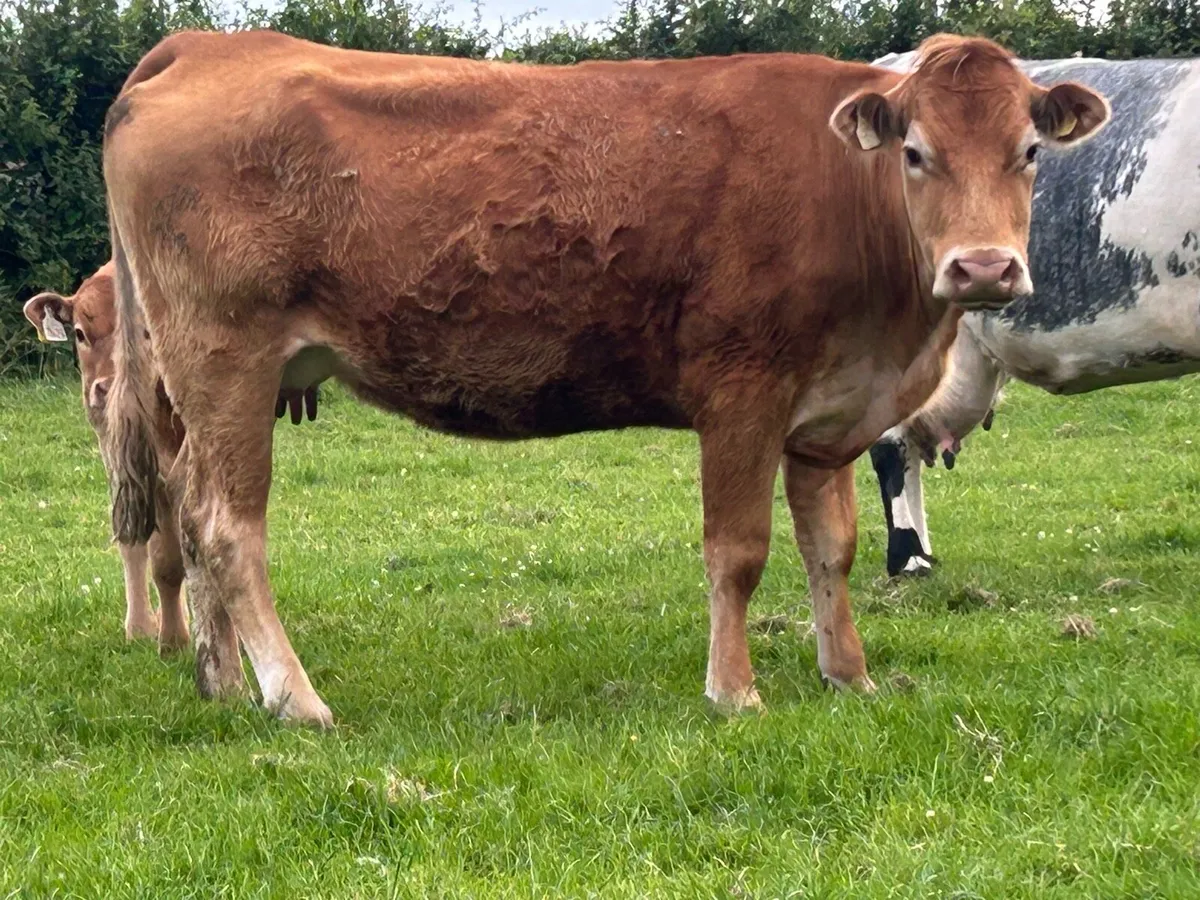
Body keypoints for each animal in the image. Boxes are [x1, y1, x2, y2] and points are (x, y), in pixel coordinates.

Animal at [22, 264, 320, 651]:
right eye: (80, 333)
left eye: (146, 333)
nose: (107, 389)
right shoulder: (120, 452)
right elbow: (146, 547)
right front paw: (157, 631)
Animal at [100, 29, 1108, 726]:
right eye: (914, 152)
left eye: (1028, 152)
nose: (984, 268)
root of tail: (207, 43)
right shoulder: (740, 393)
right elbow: (738, 552)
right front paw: (735, 693)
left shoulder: (828, 416)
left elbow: (832, 548)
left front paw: (849, 675)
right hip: (227, 358)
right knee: (228, 528)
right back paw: (295, 699)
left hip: (199, 385)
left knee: (188, 513)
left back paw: (225, 685)